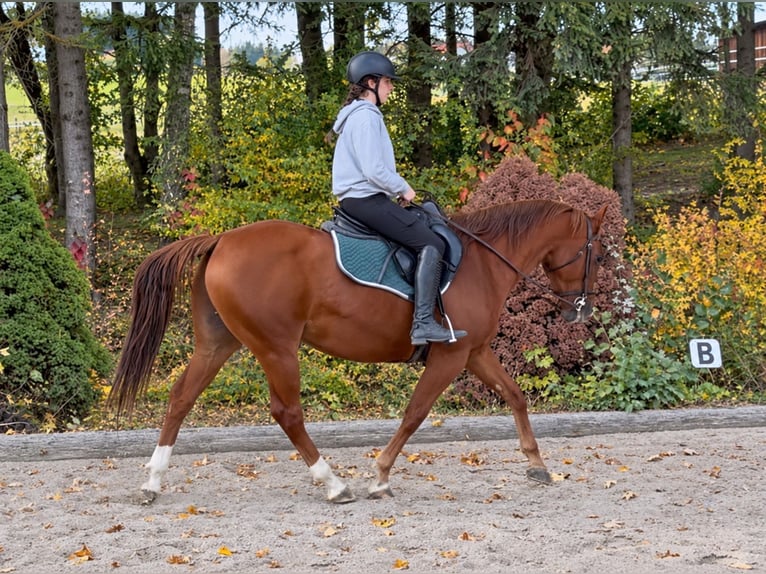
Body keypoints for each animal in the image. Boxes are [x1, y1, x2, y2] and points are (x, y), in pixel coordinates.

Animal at [109, 199, 608, 504]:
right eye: (599, 255)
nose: (580, 311)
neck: (483, 262)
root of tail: (221, 240)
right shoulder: (450, 357)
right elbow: (414, 414)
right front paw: (381, 475)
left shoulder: (474, 352)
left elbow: (515, 396)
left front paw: (537, 464)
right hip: (277, 347)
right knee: (287, 412)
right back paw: (332, 484)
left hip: (218, 344)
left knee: (180, 398)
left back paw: (152, 481)